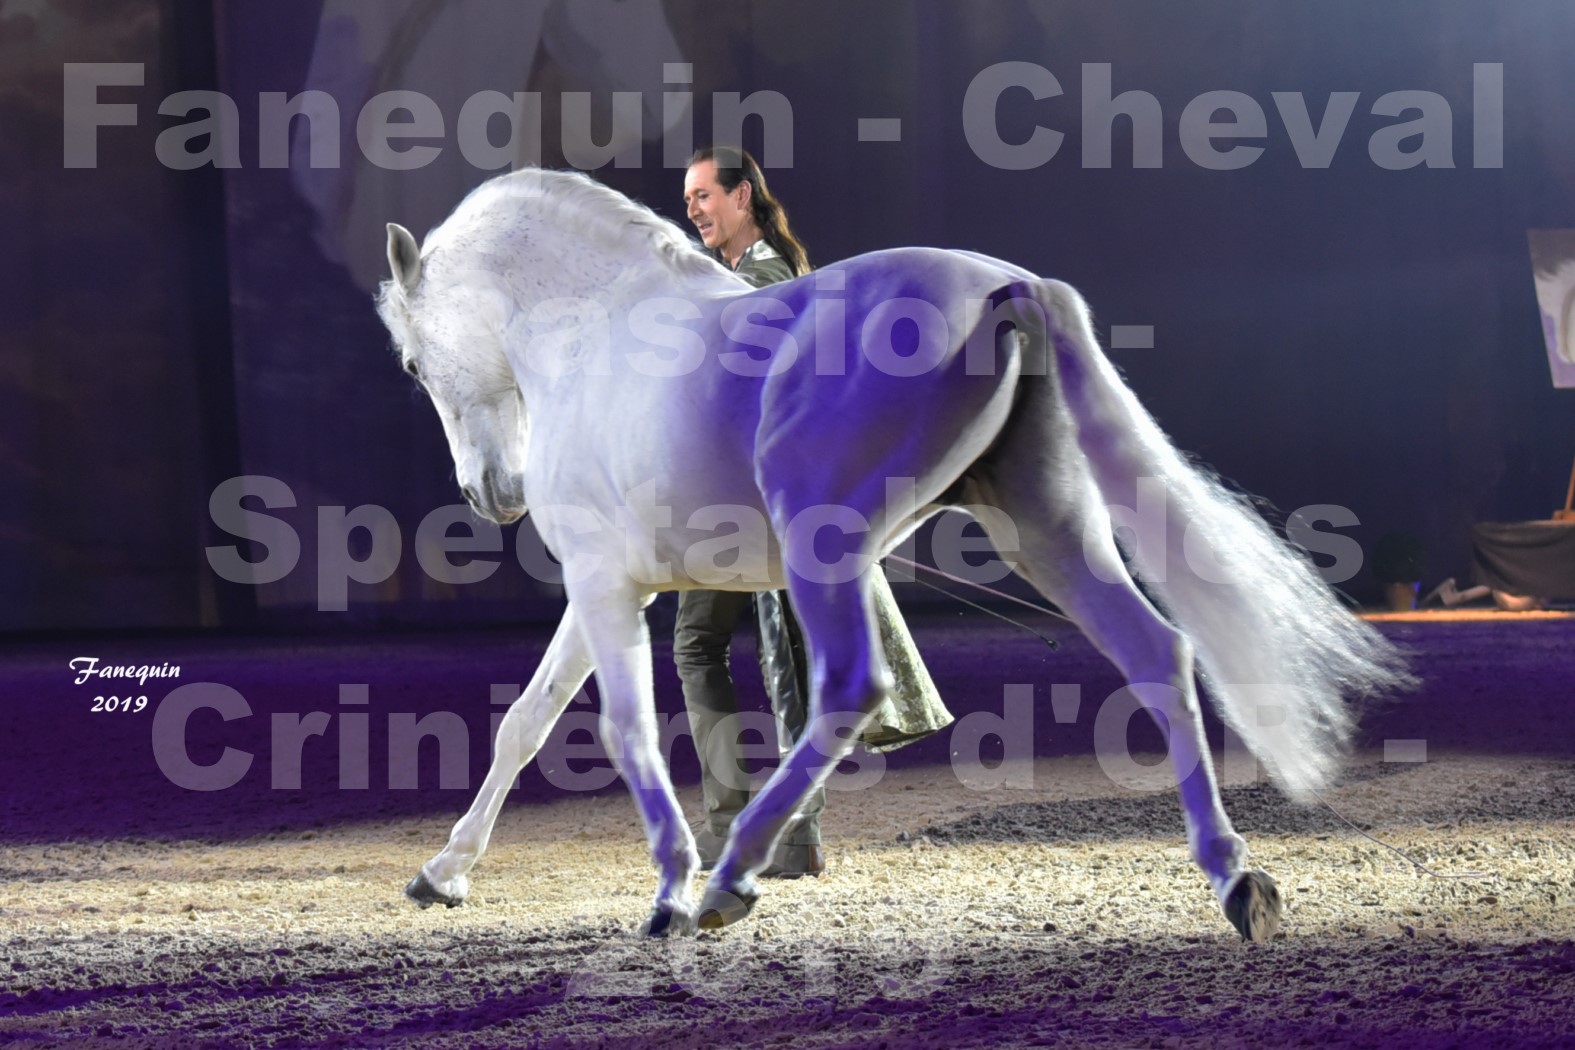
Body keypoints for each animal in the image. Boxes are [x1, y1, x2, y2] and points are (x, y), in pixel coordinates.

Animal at [374, 166, 1411, 944]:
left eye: (414, 365)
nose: (492, 495)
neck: (591, 331)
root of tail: (1004, 286)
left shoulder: (603, 583)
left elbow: (622, 729)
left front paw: (667, 891)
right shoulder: (611, 590)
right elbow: (526, 722)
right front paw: (442, 875)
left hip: (824, 546)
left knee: (851, 689)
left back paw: (728, 882)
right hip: (1044, 528)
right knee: (1158, 653)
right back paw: (1239, 884)